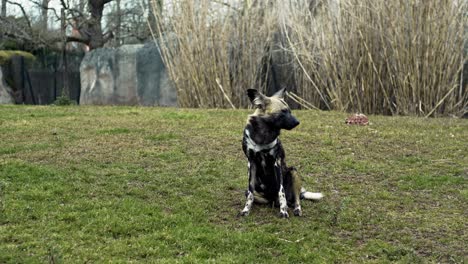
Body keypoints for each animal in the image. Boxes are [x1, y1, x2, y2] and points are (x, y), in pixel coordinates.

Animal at [239, 87, 324, 218]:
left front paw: (283, 211)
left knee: (295, 199)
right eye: (283, 112)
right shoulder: (251, 163)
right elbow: (250, 195)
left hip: (293, 172)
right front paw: (246, 209)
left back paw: (296, 209)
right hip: (256, 190)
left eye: (289, 111)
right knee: (262, 198)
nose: (298, 122)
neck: (263, 135)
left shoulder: (277, 163)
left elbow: (281, 191)